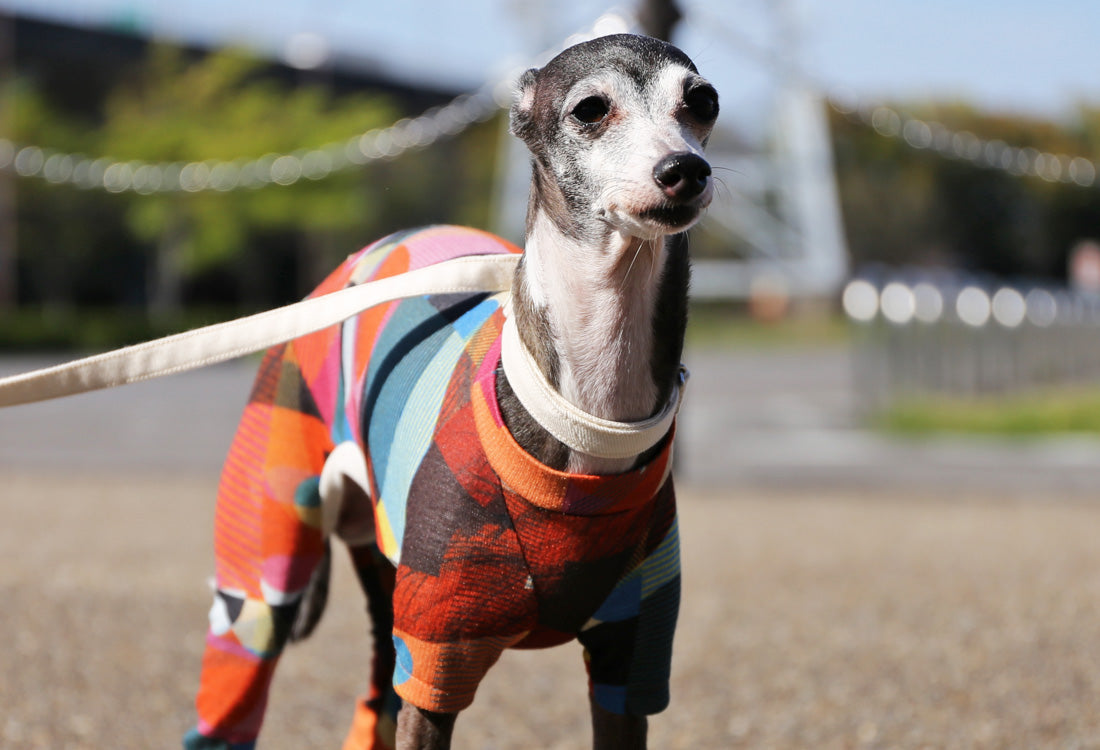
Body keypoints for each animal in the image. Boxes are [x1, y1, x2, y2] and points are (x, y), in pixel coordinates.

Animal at [184, 32, 717, 743]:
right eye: (591, 108)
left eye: (703, 101)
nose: (684, 169)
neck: (589, 420)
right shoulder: (436, 657)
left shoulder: (630, 661)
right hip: (265, 558)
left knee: (376, 692)